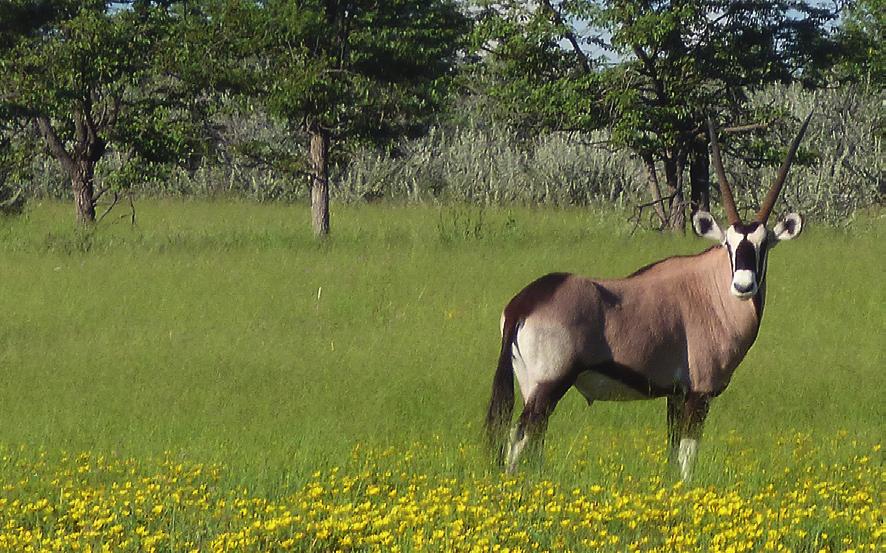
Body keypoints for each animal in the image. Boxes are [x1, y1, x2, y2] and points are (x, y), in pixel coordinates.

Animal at [490, 115, 816, 478]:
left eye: (762, 246)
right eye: (728, 245)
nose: (743, 286)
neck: (710, 292)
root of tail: (524, 304)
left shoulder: (674, 396)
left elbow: (673, 453)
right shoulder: (698, 394)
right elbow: (687, 458)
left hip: (531, 385)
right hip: (547, 387)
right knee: (519, 438)